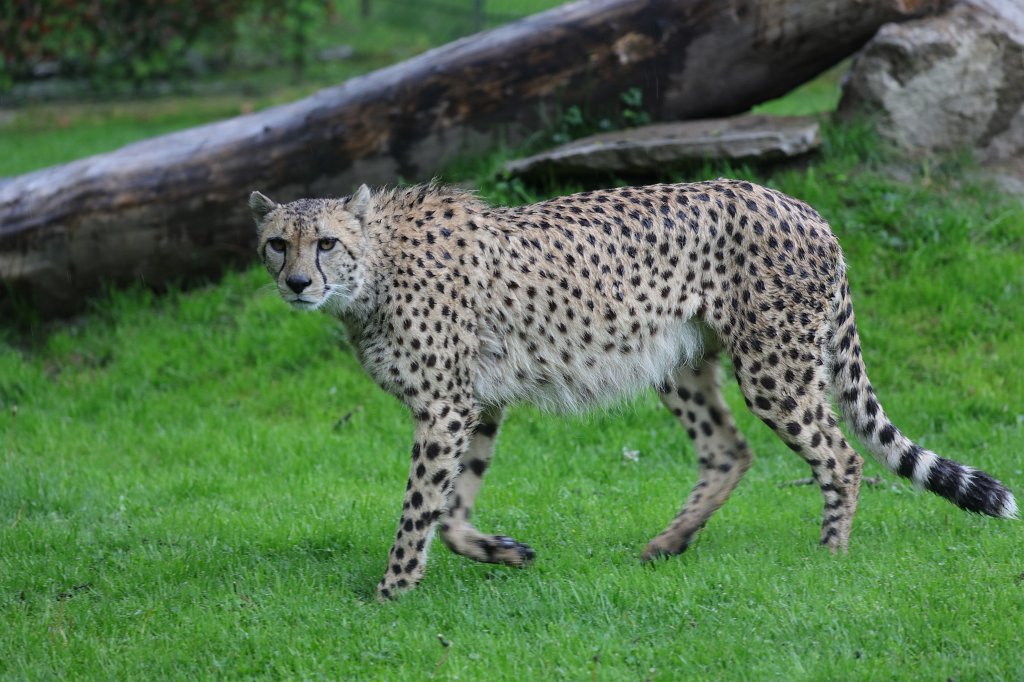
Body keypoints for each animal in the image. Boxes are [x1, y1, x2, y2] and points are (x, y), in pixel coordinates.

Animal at [248, 179, 1017, 600]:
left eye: (325, 242)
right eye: (276, 244)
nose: (297, 283)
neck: (372, 272)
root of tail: (802, 206)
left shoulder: (445, 407)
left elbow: (419, 509)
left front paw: (390, 592)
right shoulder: (478, 403)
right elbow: (451, 506)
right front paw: (500, 551)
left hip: (774, 367)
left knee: (841, 454)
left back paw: (829, 556)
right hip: (677, 361)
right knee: (729, 450)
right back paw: (667, 544)